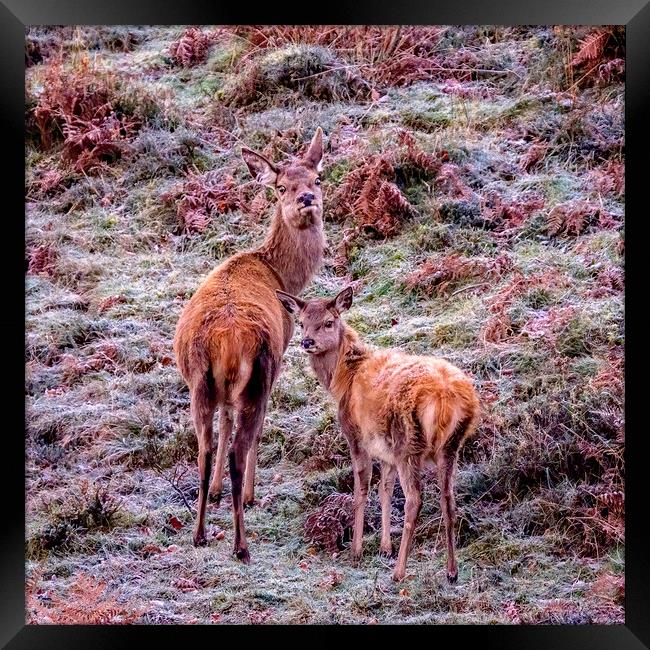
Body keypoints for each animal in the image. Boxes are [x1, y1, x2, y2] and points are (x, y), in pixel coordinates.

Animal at [173, 128, 326, 560]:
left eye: (317, 179)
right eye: (281, 187)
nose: (305, 199)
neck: (282, 275)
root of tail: (224, 341)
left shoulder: (223, 390)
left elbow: (224, 422)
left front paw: (219, 492)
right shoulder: (281, 357)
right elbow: (255, 433)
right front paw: (250, 495)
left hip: (199, 381)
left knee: (204, 446)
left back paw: (199, 532)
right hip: (259, 370)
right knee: (240, 446)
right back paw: (241, 543)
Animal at [276, 286, 478, 580]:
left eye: (329, 321)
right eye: (301, 322)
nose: (307, 342)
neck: (342, 380)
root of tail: (445, 399)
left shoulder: (356, 436)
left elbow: (361, 489)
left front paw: (357, 550)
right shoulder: (385, 450)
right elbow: (384, 489)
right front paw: (385, 547)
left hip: (408, 443)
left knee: (414, 500)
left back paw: (399, 572)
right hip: (451, 445)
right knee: (448, 498)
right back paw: (451, 571)